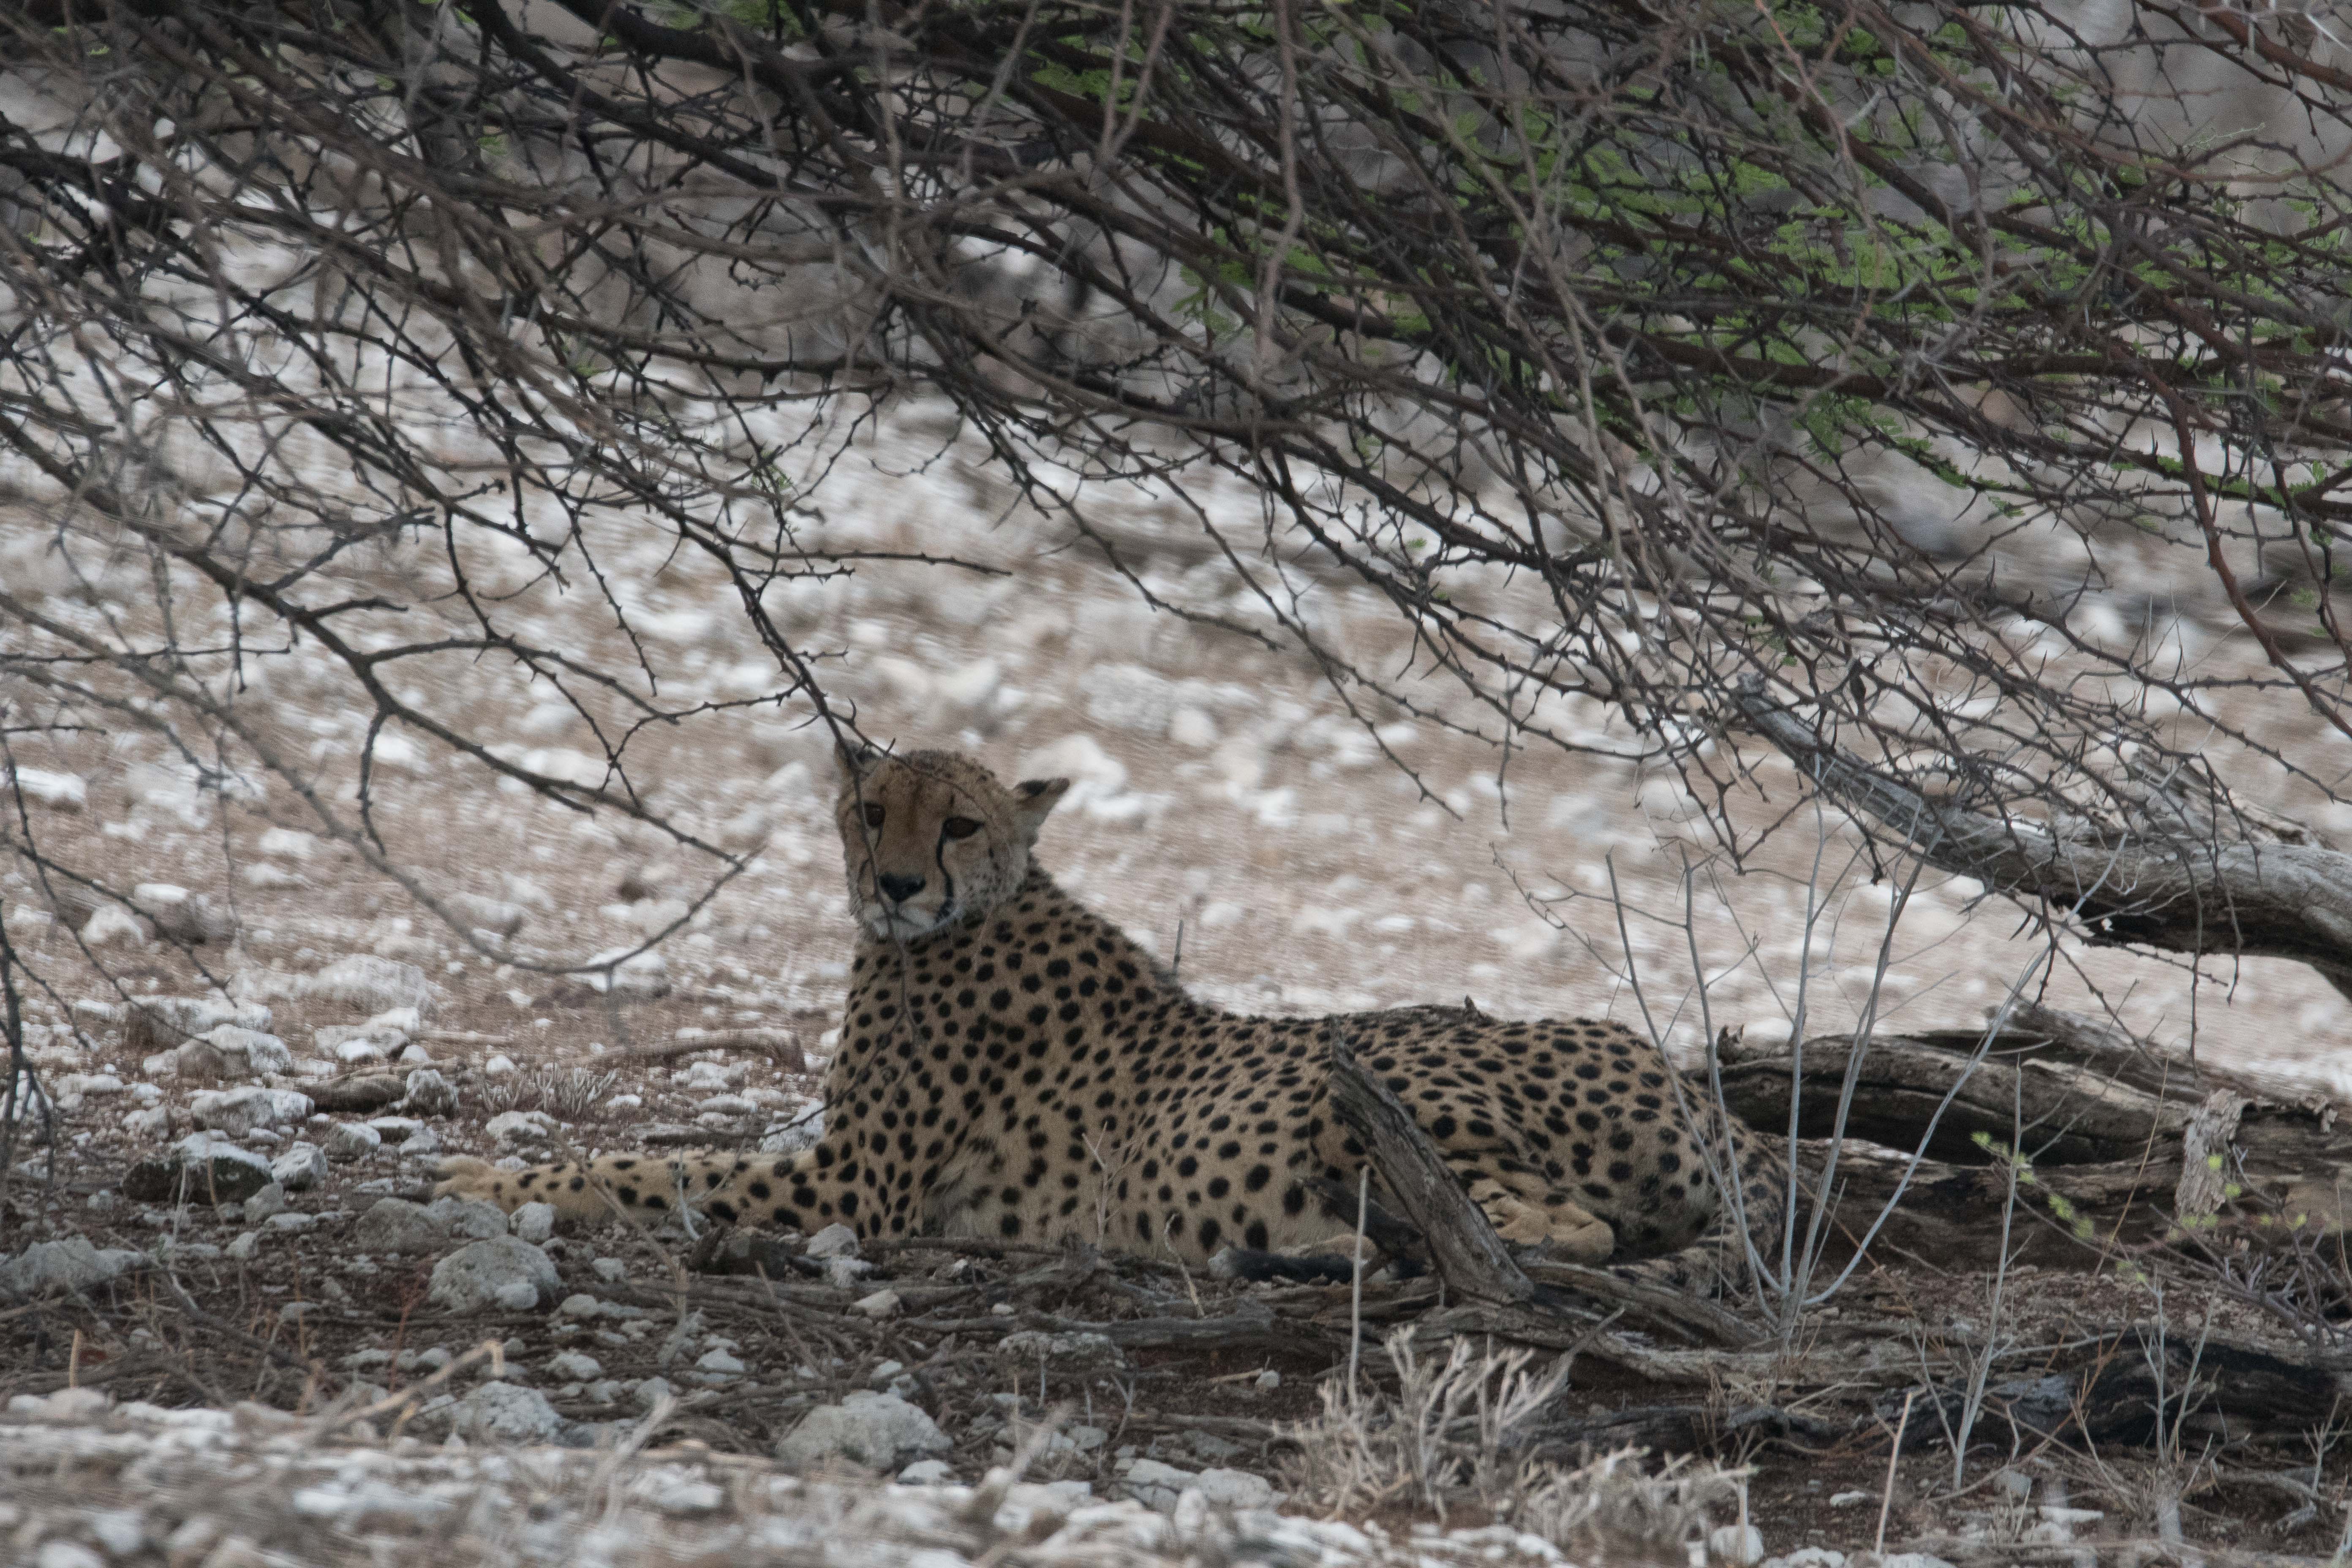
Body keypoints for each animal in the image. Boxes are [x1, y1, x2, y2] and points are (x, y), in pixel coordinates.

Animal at [437, 747, 1778, 1288]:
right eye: (871, 810)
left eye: (957, 823)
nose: (897, 883)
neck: (977, 910)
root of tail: (1705, 1097)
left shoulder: (852, 1186)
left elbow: (645, 1165)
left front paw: (481, 1181)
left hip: (1362, 1091)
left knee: (1557, 1233)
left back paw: (1338, 1249)